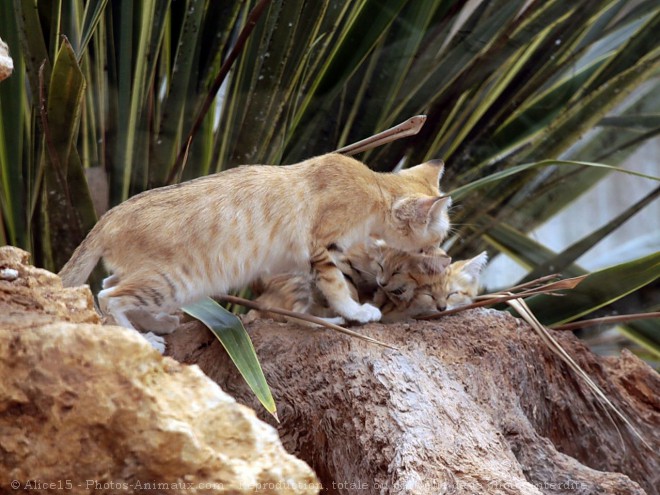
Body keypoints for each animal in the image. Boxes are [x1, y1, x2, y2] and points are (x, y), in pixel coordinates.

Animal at [59, 153, 452, 346]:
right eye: (437, 237)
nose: (445, 255)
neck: (374, 187)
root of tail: (110, 214)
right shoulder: (321, 249)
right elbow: (337, 287)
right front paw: (357, 312)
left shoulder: (299, 262)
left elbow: (301, 301)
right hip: (175, 279)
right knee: (108, 297)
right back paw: (143, 340)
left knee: (107, 285)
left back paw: (157, 322)